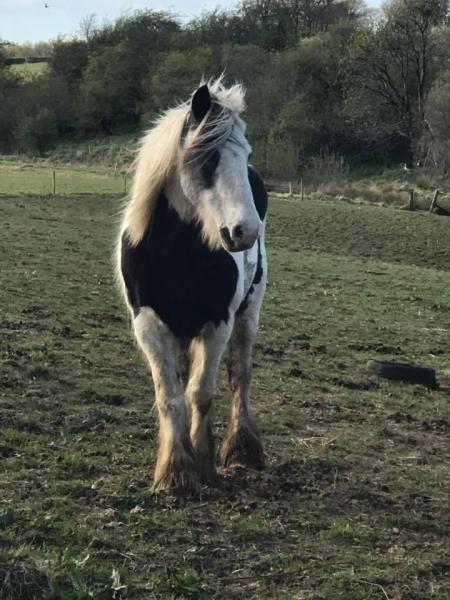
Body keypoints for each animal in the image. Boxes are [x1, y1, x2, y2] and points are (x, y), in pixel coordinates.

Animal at [118, 78, 268, 492]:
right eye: (210, 158)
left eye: (246, 155)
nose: (246, 231)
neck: (176, 253)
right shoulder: (148, 324)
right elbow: (171, 396)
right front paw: (176, 469)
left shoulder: (219, 323)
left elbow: (201, 393)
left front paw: (201, 461)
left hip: (248, 314)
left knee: (241, 374)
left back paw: (243, 448)